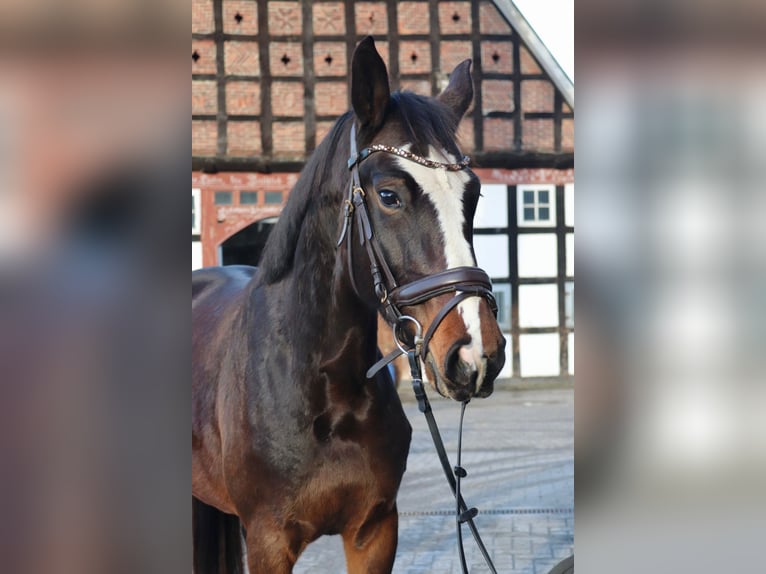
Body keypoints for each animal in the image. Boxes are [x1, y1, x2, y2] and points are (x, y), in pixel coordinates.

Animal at [192, 36, 506, 574]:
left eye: (475, 197)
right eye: (388, 195)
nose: (476, 354)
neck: (323, 385)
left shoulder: (374, 531)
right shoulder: (268, 542)